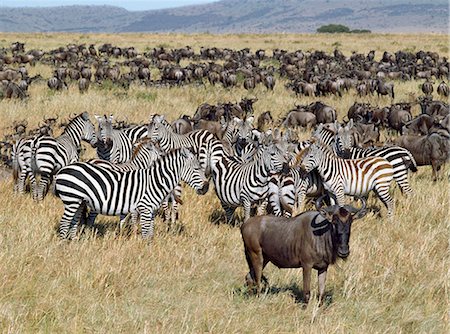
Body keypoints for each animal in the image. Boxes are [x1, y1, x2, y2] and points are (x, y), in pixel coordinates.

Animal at [55, 148, 210, 240]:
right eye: (197, 169)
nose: (207, 187)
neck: (155, 181)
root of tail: (63, 170)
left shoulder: (151, 211)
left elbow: (150, 232)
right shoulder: (145, 208)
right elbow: (146, 233)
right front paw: (146, 253)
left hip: (79, 201)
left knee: (73, 221)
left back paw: (74, 242)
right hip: (71, 199)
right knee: (65, 222)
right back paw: (64, 245)